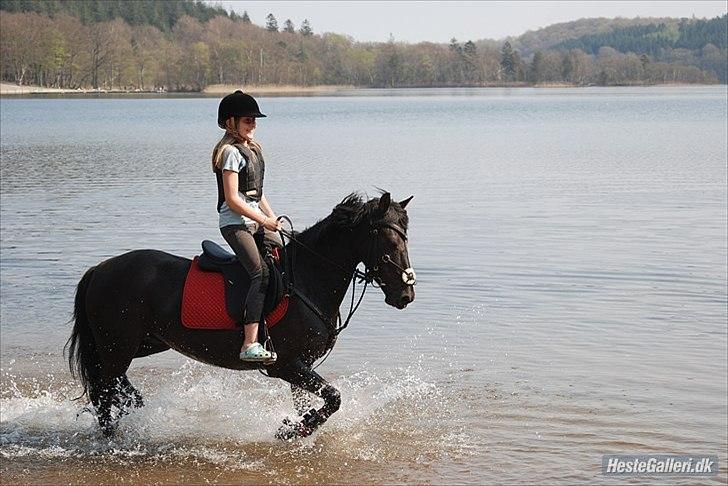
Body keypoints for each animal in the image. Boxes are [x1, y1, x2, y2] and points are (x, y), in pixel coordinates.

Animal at [67, 192, 416, 438]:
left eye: (405, 236)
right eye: (390, 241)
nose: (405, 295)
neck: (306, 277)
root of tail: (100, 269)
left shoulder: (302, 364)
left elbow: (314, 402)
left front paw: (300, 426)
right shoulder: (286, 364)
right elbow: (334, 398)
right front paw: (292, 431)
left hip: (142, 343)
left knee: (113, 384)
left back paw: (135, 407)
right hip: (117, 345)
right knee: (104, 391)